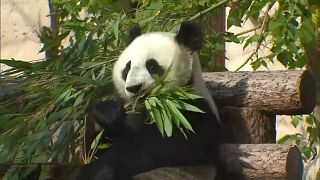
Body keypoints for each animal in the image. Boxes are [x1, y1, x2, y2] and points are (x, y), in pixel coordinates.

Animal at [75, 21, 222, 180]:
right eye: (127, 68)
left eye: (152, 66)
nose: (134, 87)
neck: (148, 106)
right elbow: (94, 147)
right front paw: (107, 114)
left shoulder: (191, 114)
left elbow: (159, 147)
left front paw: (102, 169)